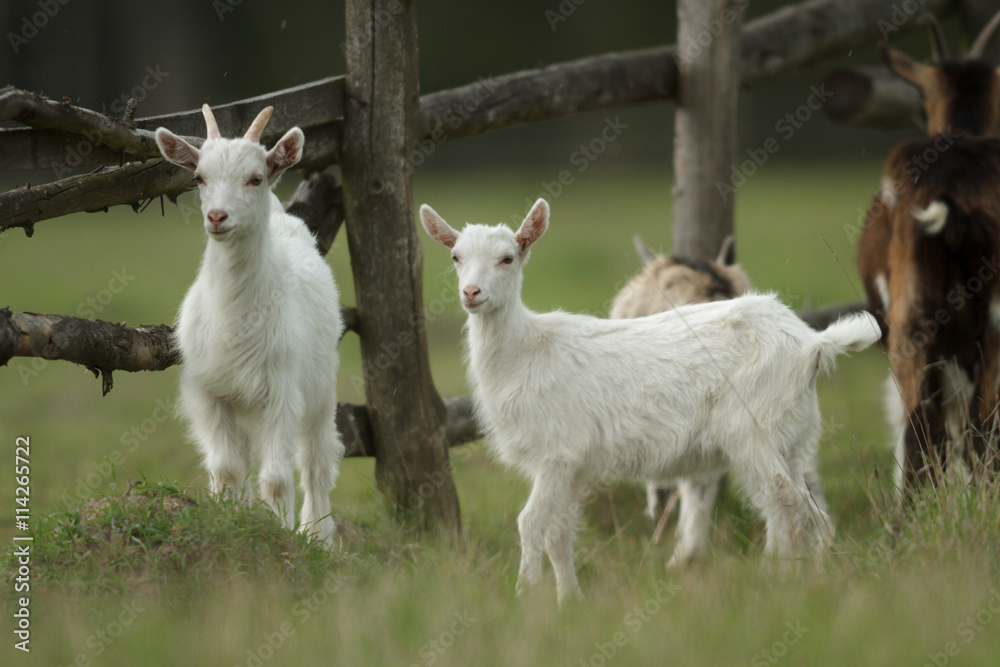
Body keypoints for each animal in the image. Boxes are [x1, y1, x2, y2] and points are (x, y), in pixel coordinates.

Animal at [155, 105, 344, 544]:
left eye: (255, 177)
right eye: (199, 177)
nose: (217, 217)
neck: (234, 317)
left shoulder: (281, 393)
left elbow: (276, 478)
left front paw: (285, 533)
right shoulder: (210, 393)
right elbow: (226, 469)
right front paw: (230, 521)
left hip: (321, 390)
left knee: (317, 463)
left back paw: (320, 535)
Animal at [421, 198, 878, 603]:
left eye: (508, 258)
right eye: (456, 257)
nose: (471, 293)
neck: (524, 352)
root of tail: (813, 343)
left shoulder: (558, 452)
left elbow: (530, 524)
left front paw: (526, 598)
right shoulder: (573, 465)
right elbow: (559, 533)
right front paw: (570, 601)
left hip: (754, 427)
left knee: (785, 502)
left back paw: (777, 581)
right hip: (795, 432)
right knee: (811, 507)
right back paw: (816, 577)